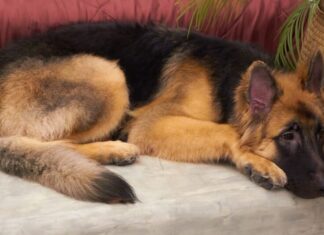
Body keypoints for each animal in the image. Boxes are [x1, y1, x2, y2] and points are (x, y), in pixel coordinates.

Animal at [0, 21, 322, 204]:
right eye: (288, 136)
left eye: (321, 134)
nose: (322, 184)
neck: (229, 83)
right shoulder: (151, 124)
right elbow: (226, 130)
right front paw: (258, 161)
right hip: (108, 74)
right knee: (44, 143)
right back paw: (112, 150)